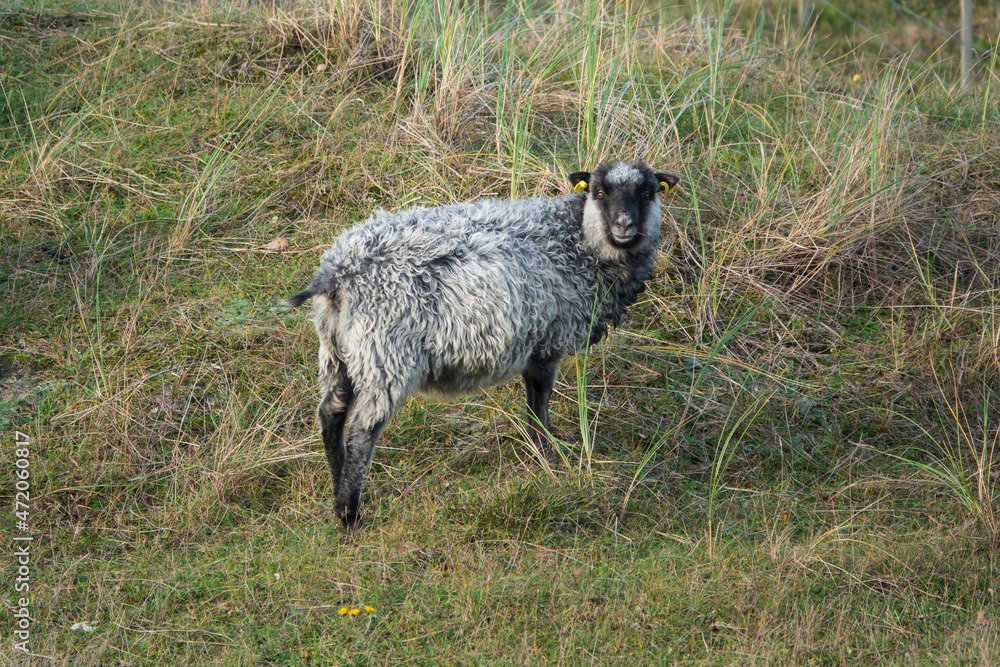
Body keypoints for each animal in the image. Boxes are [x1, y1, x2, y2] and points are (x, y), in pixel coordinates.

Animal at [285, 159, 679, 529]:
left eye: (648, 193)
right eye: (599, 192)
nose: (624, 225)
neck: (576, 240)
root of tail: (336, 273)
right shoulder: (548, 339)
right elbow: (539, 399)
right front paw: (547, 457)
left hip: (337, 351)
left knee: (331, 414)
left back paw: (337, 487)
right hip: (385, 353)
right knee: (363, 430)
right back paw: (349, 513)